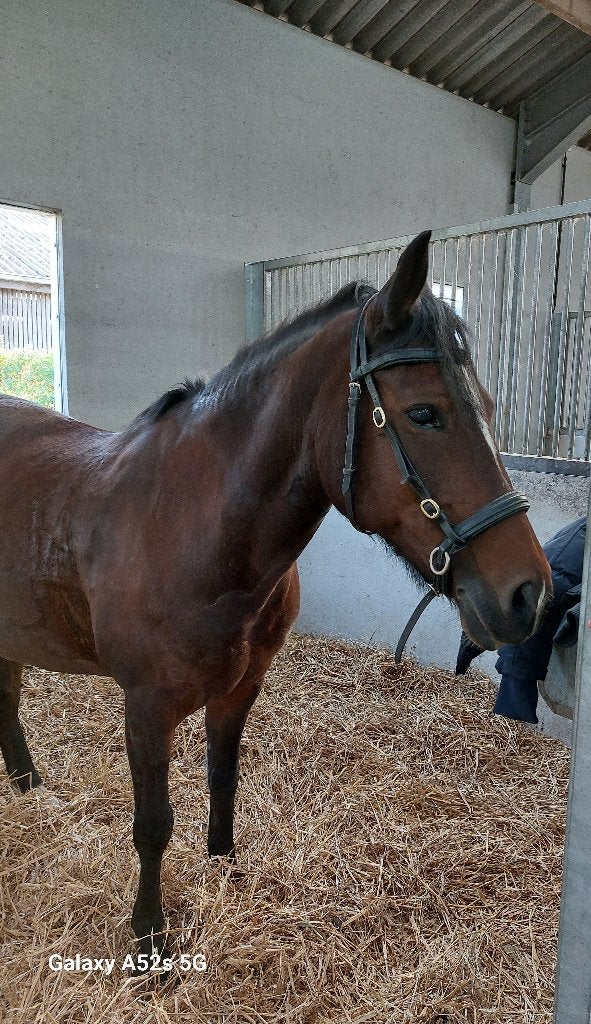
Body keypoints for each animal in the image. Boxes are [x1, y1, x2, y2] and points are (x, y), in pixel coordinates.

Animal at [0, 231, 551, 960]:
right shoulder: (145, 706)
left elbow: (223, 778)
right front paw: (150, 935)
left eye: (486, 408)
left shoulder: (240, 688)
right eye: (423, 412)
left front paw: (223, 869)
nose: (528, 594)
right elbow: (152, 822)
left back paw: (29, 789)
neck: (192, 527)